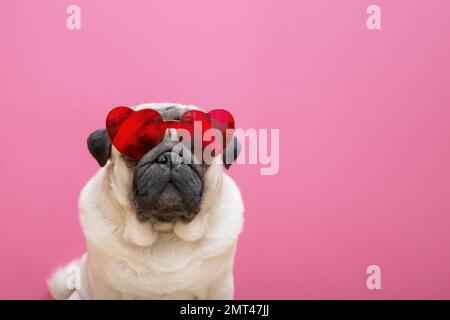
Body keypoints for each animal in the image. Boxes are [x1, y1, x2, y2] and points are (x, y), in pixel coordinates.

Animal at [48, 102, 244, 300]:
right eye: (138, 148)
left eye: (199, 149)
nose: (171, 158)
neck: (164, 229)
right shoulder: (107, 289)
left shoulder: (219, 286)